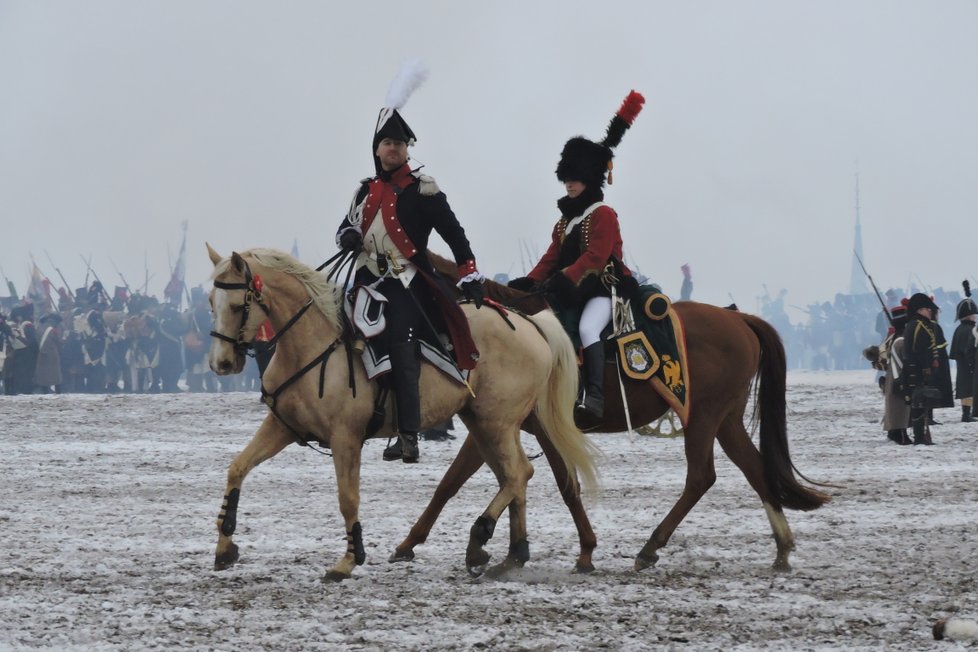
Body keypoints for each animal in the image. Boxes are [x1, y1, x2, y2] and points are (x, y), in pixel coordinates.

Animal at [386, 253, 824, 572]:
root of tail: (738, 317)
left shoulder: (531, 425)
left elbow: (563, 484)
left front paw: (582, 551)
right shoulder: (496, 423)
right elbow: (451, 482)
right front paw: (410, 543)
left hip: (702, 416)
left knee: (701, 477)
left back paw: (650, 547)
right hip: (726, 419)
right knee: (754, 469)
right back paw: (782, 549)